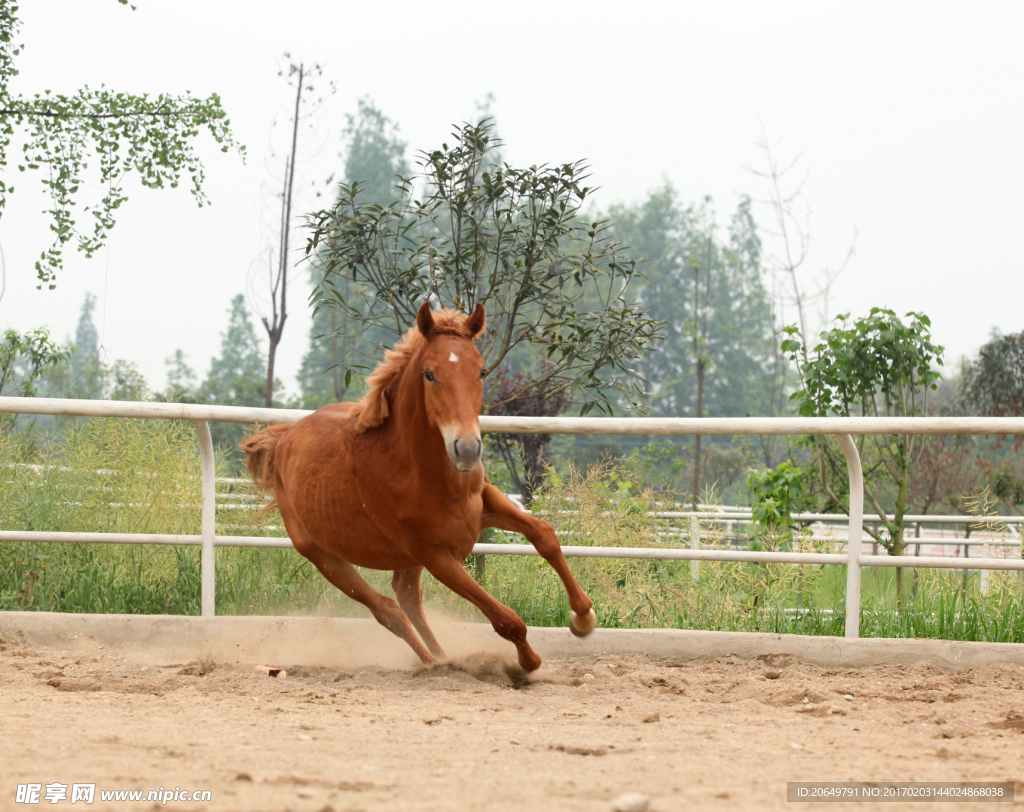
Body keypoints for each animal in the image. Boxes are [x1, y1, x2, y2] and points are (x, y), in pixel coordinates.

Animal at [242, 301, 598, 667]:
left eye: (482, 372)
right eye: (429, 374)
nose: (467, 449)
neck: (421, 474)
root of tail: (286, 437)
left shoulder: (485, 504)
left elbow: (544, 535)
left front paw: (583, 619)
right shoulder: (435, 555)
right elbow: (505, 618)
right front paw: (529, 664)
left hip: (402, 561)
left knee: (407, 597)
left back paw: (442, 657)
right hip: (323, 556)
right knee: (388, 611)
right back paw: (433, 662)